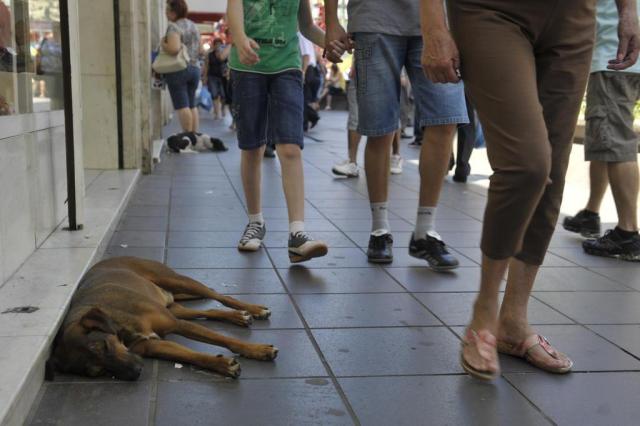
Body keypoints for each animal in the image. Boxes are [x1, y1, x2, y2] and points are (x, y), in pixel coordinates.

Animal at [45, 255, 276, 382]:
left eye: (104, 346)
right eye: (97, 371)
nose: (136, 371)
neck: (121, 329)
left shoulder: (177, 324)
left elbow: (225, 340)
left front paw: (258, 350)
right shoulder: (155, 345)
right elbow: (192, 356)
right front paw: (221, 364)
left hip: (176, 280)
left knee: (218, 295)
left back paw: (253, 309)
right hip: (176, 306)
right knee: (209, 311)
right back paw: (238, 316)